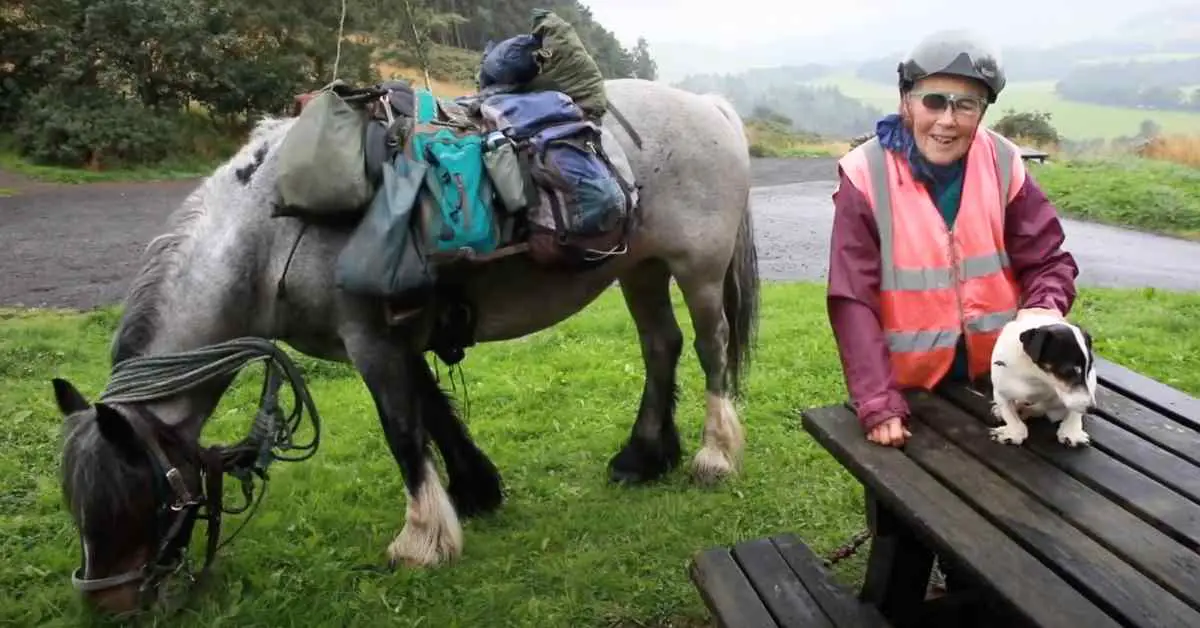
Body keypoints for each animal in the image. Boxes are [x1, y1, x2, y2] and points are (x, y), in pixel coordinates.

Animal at [51, 77, 758, 614]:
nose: (106, 605)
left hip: (696, 270)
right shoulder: (393, 337)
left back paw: (713, 456)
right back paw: (642, 457)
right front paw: (475, 491)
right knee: (661, 345)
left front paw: (420, 542)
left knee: (711, 347)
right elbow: (434, 413)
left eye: (133, 499)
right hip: (641, 268)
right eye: (78, 505)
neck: (272, 231)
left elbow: (402, 432)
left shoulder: (370, 340)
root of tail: (710, 106)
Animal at [984, 309, 1099, 446]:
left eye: (1089, 368)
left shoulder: (1089, 382)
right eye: (1068, 370)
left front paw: (1071, 432)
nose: (1092, 409)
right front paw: (1013, 432)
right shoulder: (1001, 392)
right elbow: (1011, 416)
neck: (1037, 377)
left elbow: (1073, 410)